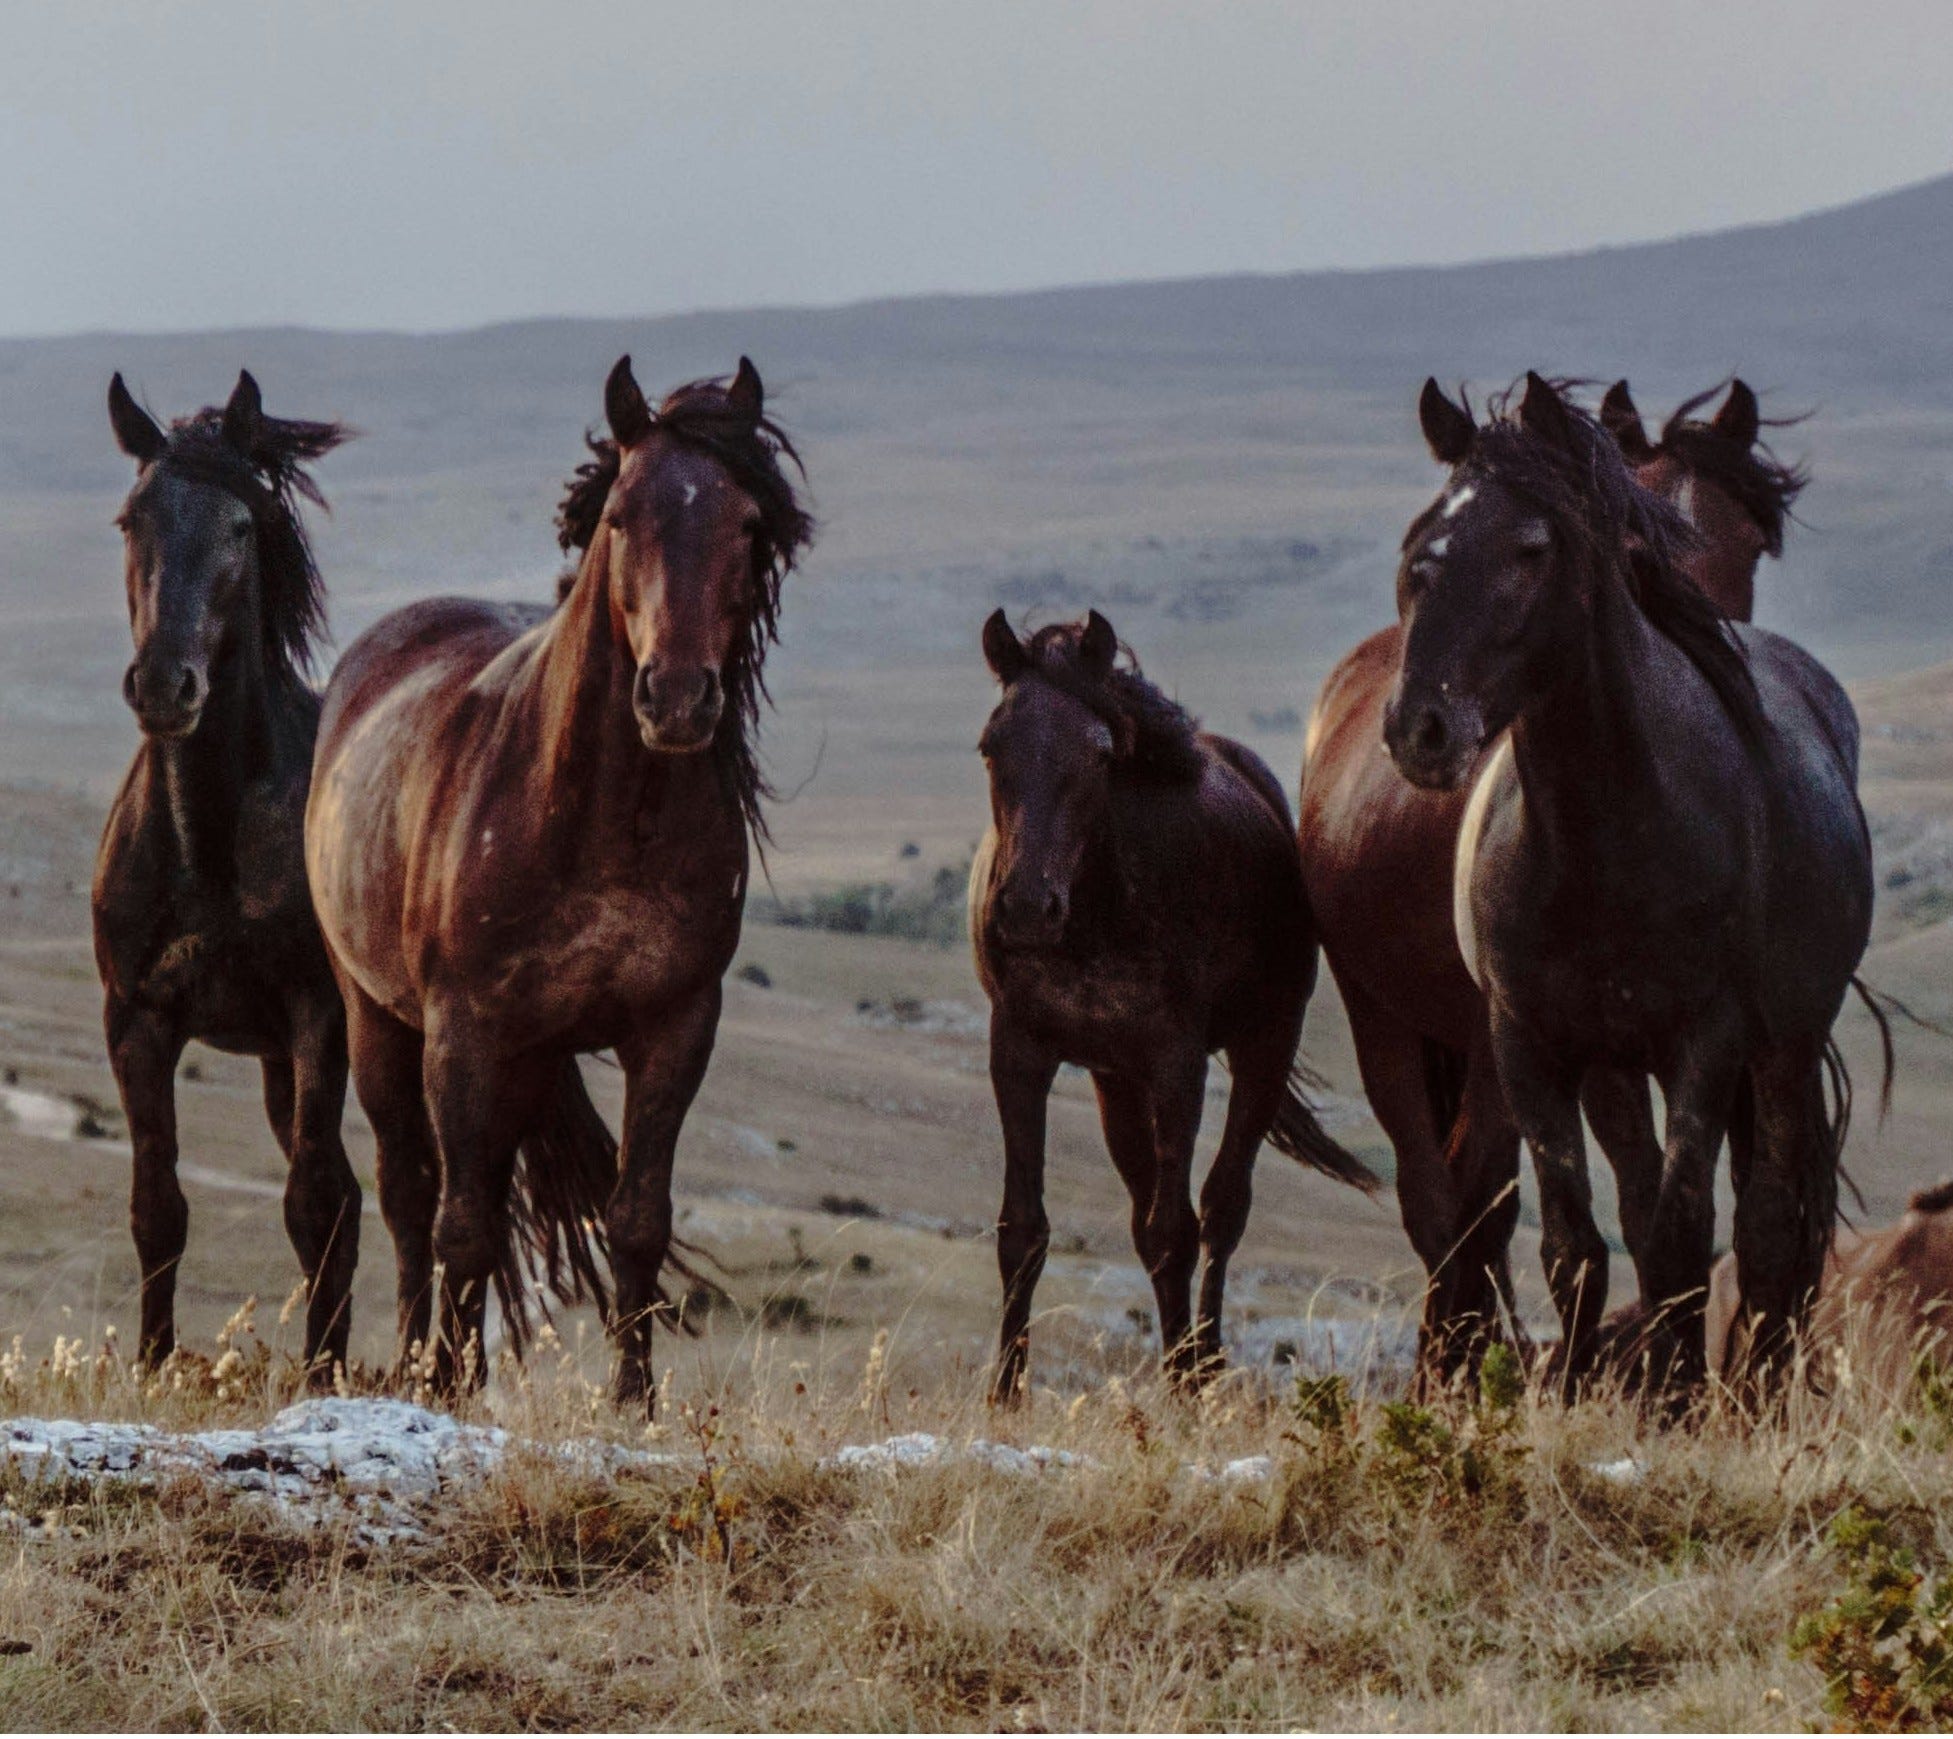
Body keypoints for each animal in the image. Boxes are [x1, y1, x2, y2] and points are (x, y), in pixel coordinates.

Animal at [93, 370, 359, 1374]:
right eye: (131, 519)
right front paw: (152, 1363)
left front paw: (324, 1382)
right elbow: (157, 1206)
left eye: (242, 526)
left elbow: (311, 1202)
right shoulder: (137, 1020)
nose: (166, 685)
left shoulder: (320, 1017)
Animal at [305, 357, 808, 1404]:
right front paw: (446, 1387)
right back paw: (416, 1360)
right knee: (413, 1191)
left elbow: (637, 1216)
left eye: (748, 521)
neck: (599, 822)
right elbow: (457, 1222)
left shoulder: (675, 1026)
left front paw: (634, 1398)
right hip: (378, 1019)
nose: (679, 697)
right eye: (619, 514)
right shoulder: (463, 1028)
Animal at [970, 610, 1377, 1401]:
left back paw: (1206, 1365)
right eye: (990, 745)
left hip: (1261, 1048)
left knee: (1220, 1211)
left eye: (1100, 753)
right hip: (1115, 1082)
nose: (1028, 907)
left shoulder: (1177, 1064)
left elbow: (1174, 1230)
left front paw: (1185, 1385)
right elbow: (1022, 1229)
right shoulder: (1020, 1053)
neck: (1099, 907)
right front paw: (1004, 1392)